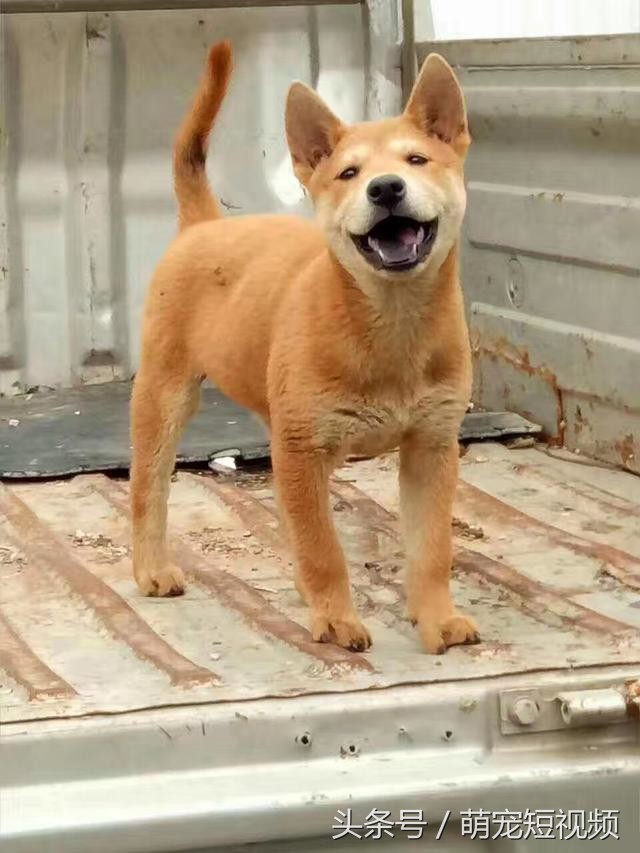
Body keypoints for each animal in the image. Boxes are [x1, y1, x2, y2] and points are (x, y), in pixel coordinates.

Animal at [130, 41, 480, 652]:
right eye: (349, 173)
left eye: (416, 160)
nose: (385, 188)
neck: (390, 322)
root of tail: (203, 224)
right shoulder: (304, 452)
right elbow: (324, 548)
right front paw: (336, 618)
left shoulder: (431, 450)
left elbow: (432, 549)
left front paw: (437, 618)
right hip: (164, 396)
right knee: (148, 490)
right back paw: (152, 567)